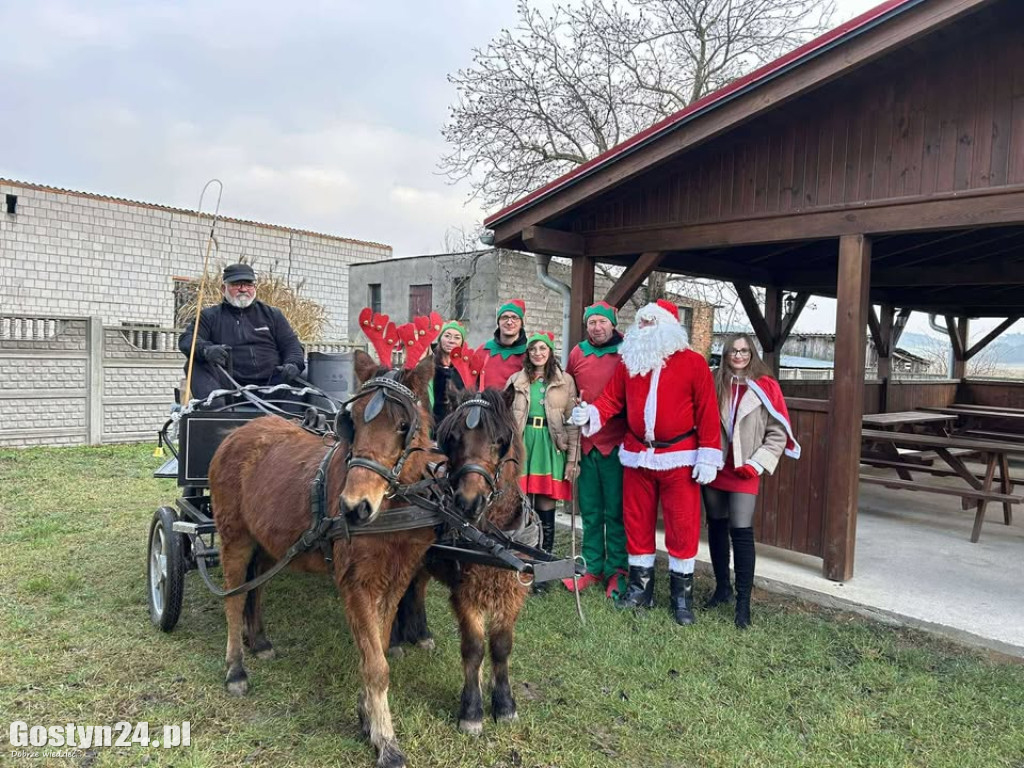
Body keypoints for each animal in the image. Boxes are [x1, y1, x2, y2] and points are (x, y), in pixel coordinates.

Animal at [211, 352, 440, 768]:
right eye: (353, 422)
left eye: (403, 426)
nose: (354, 507)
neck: (392, 509)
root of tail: (238, 432)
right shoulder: (355, 584)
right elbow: (376, 664)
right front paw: (386, 741)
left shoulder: (396, 580)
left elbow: (378, 645)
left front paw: (367, 717)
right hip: (234, 537)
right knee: (234, 598)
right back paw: (236, 668)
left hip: (269, 544)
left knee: (257, 589)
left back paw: (260, 641)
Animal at [391, 387, 532, 737]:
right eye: (453, 439)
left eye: (500, 440)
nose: (468, 502)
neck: (494, 540)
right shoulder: (467, 594)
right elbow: (474, 648)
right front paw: (471, 710)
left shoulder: (511, 593)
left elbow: (501, 647)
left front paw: (505, 704)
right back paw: (395, 641)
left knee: (416, 588)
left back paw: (420, 633)